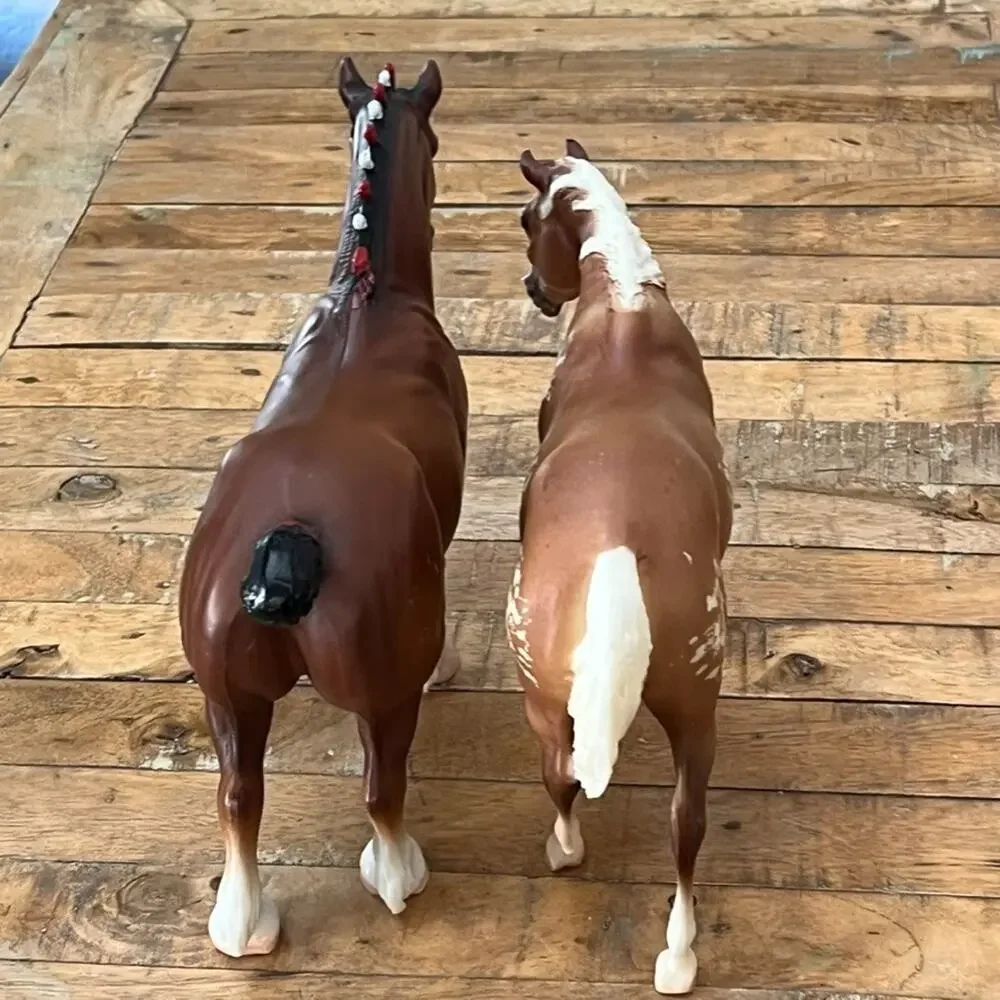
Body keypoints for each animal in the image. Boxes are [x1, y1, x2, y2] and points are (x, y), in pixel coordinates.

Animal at [179, 57, 469, 959]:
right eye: (435, 141)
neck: (364, 299)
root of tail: (288, 539)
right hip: (382, 696)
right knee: (381, 789)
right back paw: (399, 875)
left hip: (229, 700)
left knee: (238, 801)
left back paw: (244, 924)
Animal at [506, 140, 733, 995]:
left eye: (526, 220)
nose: (536, 291)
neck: (627, 307)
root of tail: (614, 552)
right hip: (695, 714)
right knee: (684, 825)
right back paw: (678, 956)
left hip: (547, 703)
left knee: (563, 778)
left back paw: (566, 853)